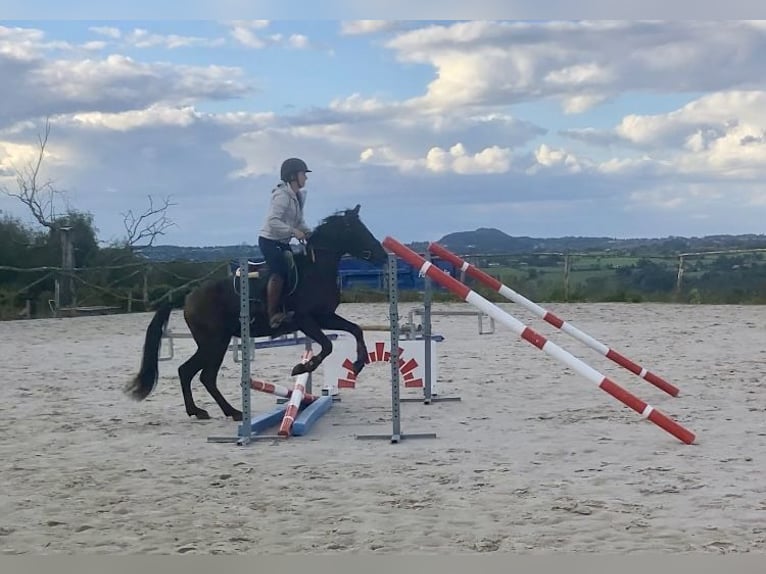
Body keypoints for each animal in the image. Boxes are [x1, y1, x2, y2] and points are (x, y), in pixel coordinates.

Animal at [127, 205, 390, 420]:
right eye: (356, 230)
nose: (382, 255)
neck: (315, 270)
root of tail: (189, 295)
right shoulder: (306, 320)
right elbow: (327, 346)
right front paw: (302, 367)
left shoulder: (325, 317)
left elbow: (355, 330)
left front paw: (358, 363)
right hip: (214, 342)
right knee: (199, 374)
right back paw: (227, 412)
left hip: (215, 343)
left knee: (193, 373)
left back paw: (208, 411)